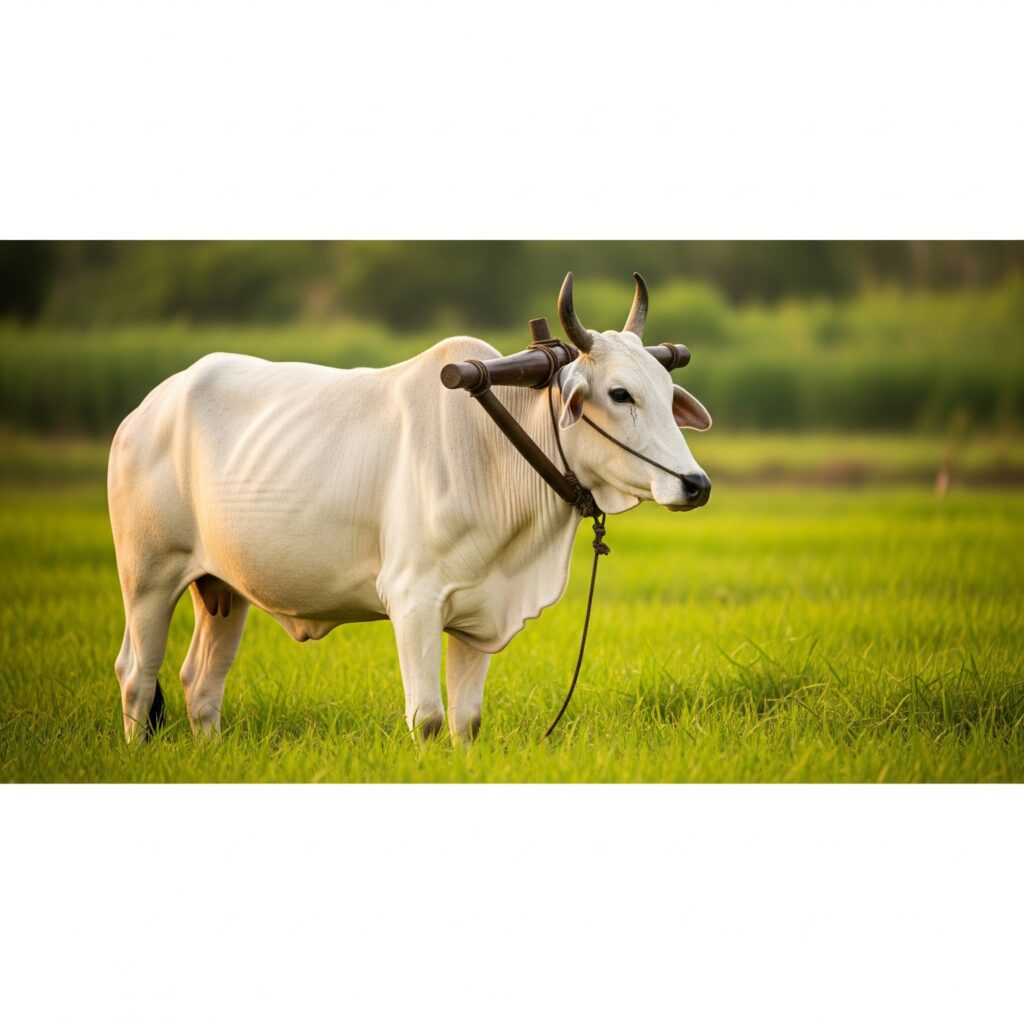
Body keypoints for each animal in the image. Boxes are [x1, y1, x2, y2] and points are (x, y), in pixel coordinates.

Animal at [108, 273, 712, 743]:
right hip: (148, 576)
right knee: (137, 676)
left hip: (224, 589)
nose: (696, 484)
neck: (494, 452)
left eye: (667, 392)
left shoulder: (478, 612)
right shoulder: (412, 599)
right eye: (619, 394)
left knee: (200, 685)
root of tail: (146, 409)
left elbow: (466, 721)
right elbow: (427, 719)